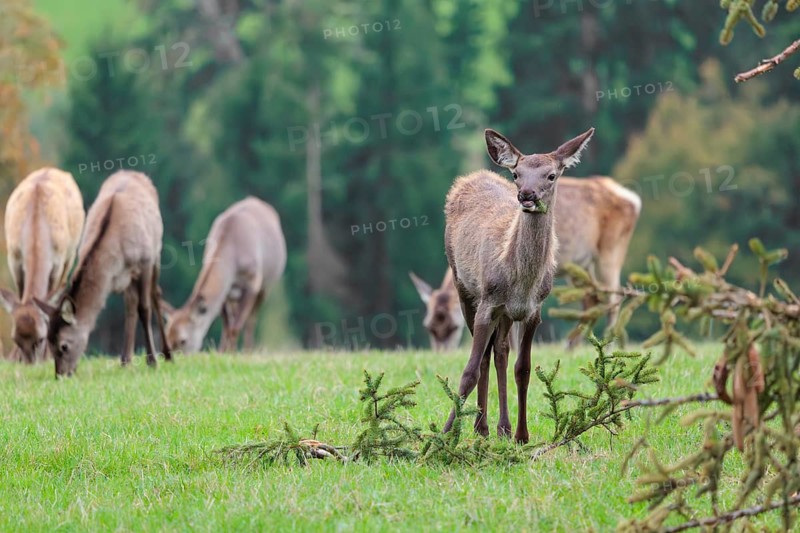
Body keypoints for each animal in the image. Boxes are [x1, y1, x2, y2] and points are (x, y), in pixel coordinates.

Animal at [0, 168, 85, 363]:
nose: (30, 365)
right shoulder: (14, 259)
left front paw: (48, 357)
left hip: (70, 256)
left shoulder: (58, 262)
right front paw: (15, 358)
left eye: (41, 338)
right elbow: (20, 295)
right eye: (15, 339)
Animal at [33, 170, 171, 377]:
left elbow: (145, 309)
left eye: (64, 346)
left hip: (157, 251)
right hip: (129, 278)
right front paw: (130, 361)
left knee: (156, 295)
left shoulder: (145, 262)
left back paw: (168, 355)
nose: (61, 376)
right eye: (48, 342)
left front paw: (152, 362)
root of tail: (133, 172)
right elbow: (131, 308)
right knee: (130, 304)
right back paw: (125, 361)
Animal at [160, 197, 286, 353]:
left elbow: (236, 326)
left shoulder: (253, 282)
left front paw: (233, 353)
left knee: (251, 319)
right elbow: (227, 325)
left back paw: (248, 350)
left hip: (266, 285)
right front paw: (222, 352)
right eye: (167, 337)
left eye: (183, 340)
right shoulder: (225, 291)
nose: (175, 356)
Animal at [411, 179, 640, 351]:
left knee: (614, 296)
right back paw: (571, 346)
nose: (442, 354)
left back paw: (606, 347)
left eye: (454, 327)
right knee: (592, 298)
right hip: (583, 264)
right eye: (428, 327)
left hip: (611, 251)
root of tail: (634, 200)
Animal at [442, 127, 595, 444]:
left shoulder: (533, 310)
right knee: (485, 356)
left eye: (551, 175)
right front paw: (445, 433)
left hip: (505, 314)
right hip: (462, 285)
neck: (520, 283)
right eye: (516, 173)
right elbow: (469, 371)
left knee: (500, 351)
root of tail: (470, 177)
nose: (526, 195)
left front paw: (522, 435)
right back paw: (482, 427)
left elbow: (523, 369)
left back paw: (501, 427)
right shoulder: (488, 301)